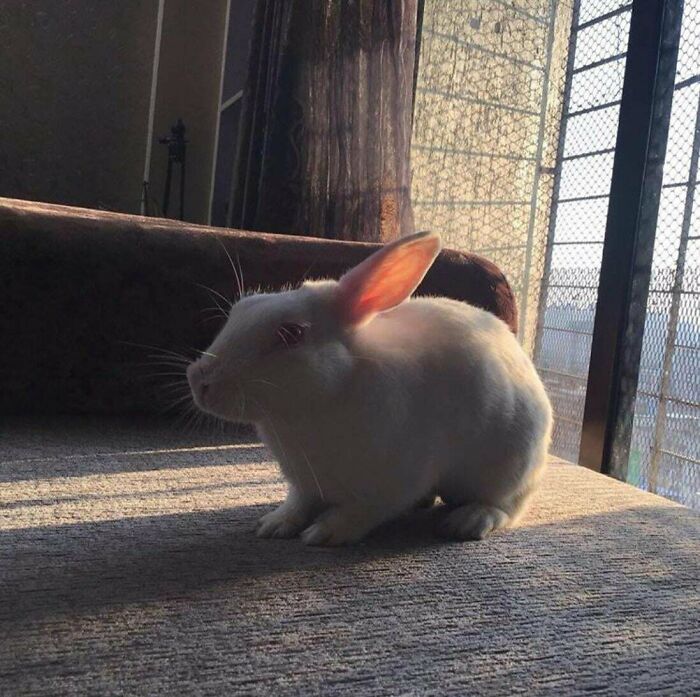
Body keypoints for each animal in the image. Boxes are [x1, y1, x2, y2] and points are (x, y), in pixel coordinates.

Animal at [187, 231, 552, 546]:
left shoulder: (393, 483)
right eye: (239, 310)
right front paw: (274, 525)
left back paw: (466, 521)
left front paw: (324, 533)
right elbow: (297, 504)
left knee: (505, 507)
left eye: (291, 334)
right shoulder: (303, 485)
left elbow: (362, 512)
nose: (198, 380)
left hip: (508, 468)